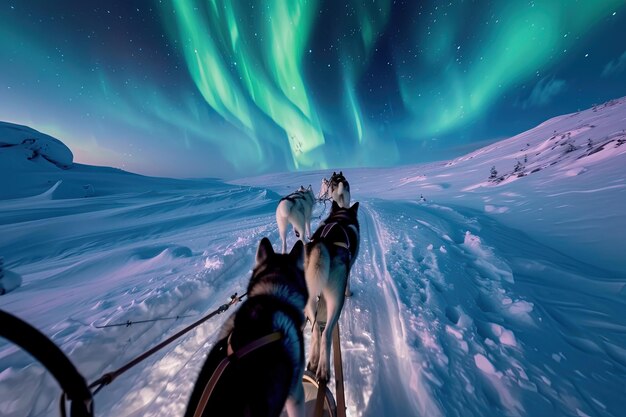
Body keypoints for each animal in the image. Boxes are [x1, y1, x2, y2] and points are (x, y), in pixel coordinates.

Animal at [304, 201, 358, 380]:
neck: (341, 216)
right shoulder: (349, 268)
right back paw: (324, 369)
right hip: (336, 301)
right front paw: (349, 293)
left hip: (309, 301)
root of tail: (324, 243)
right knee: (326, 334)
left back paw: (314, 361)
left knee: (316, 332)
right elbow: (348, 283)